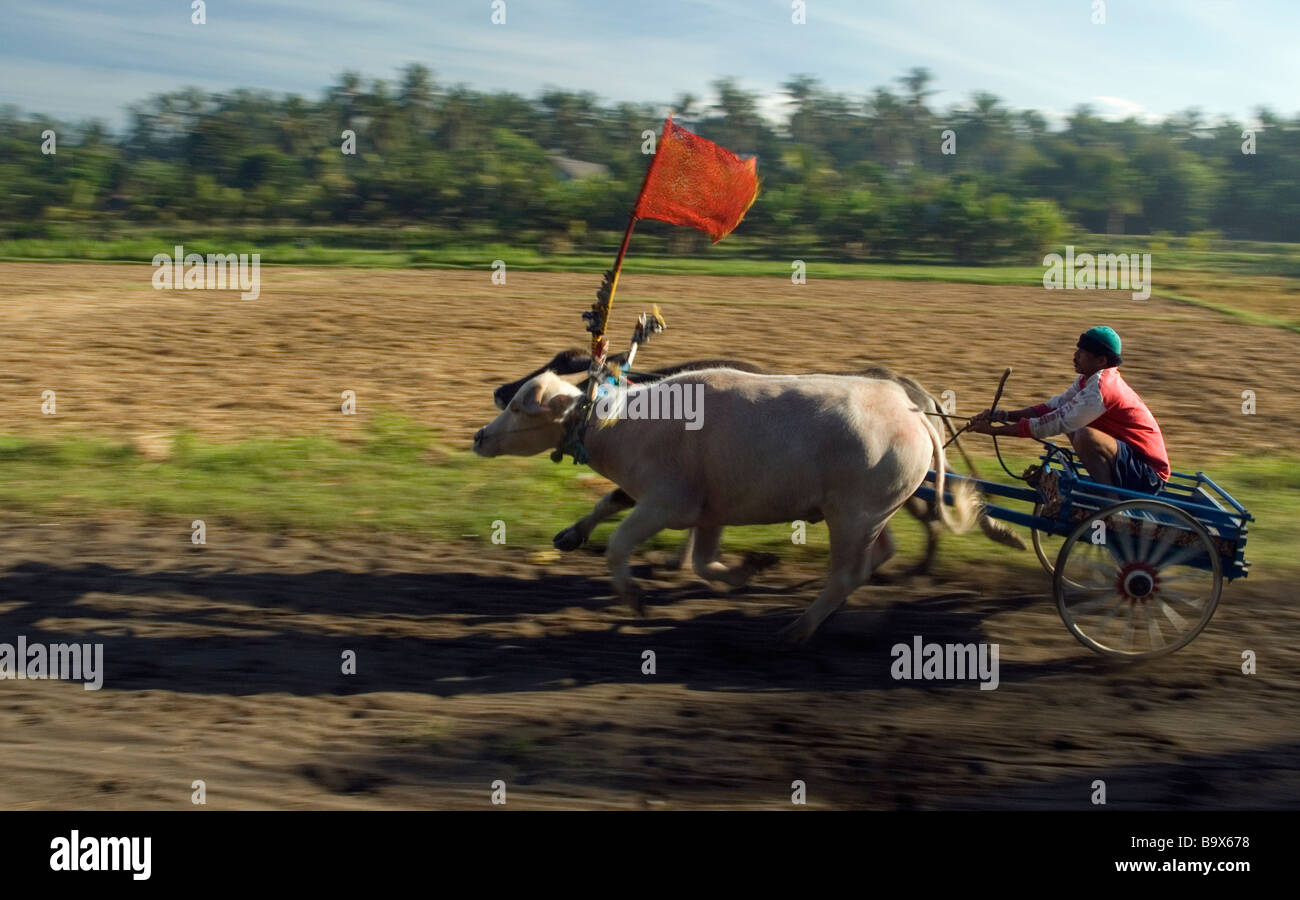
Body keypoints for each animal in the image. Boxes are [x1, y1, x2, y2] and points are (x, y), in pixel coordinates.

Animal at [491, 348, 1019, 572]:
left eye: (560, 365)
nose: (498, 389)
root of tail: (912, 392)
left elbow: (611, 501)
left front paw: (570, 536)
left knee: (929, 519)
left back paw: (922, 565)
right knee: (925, 515)